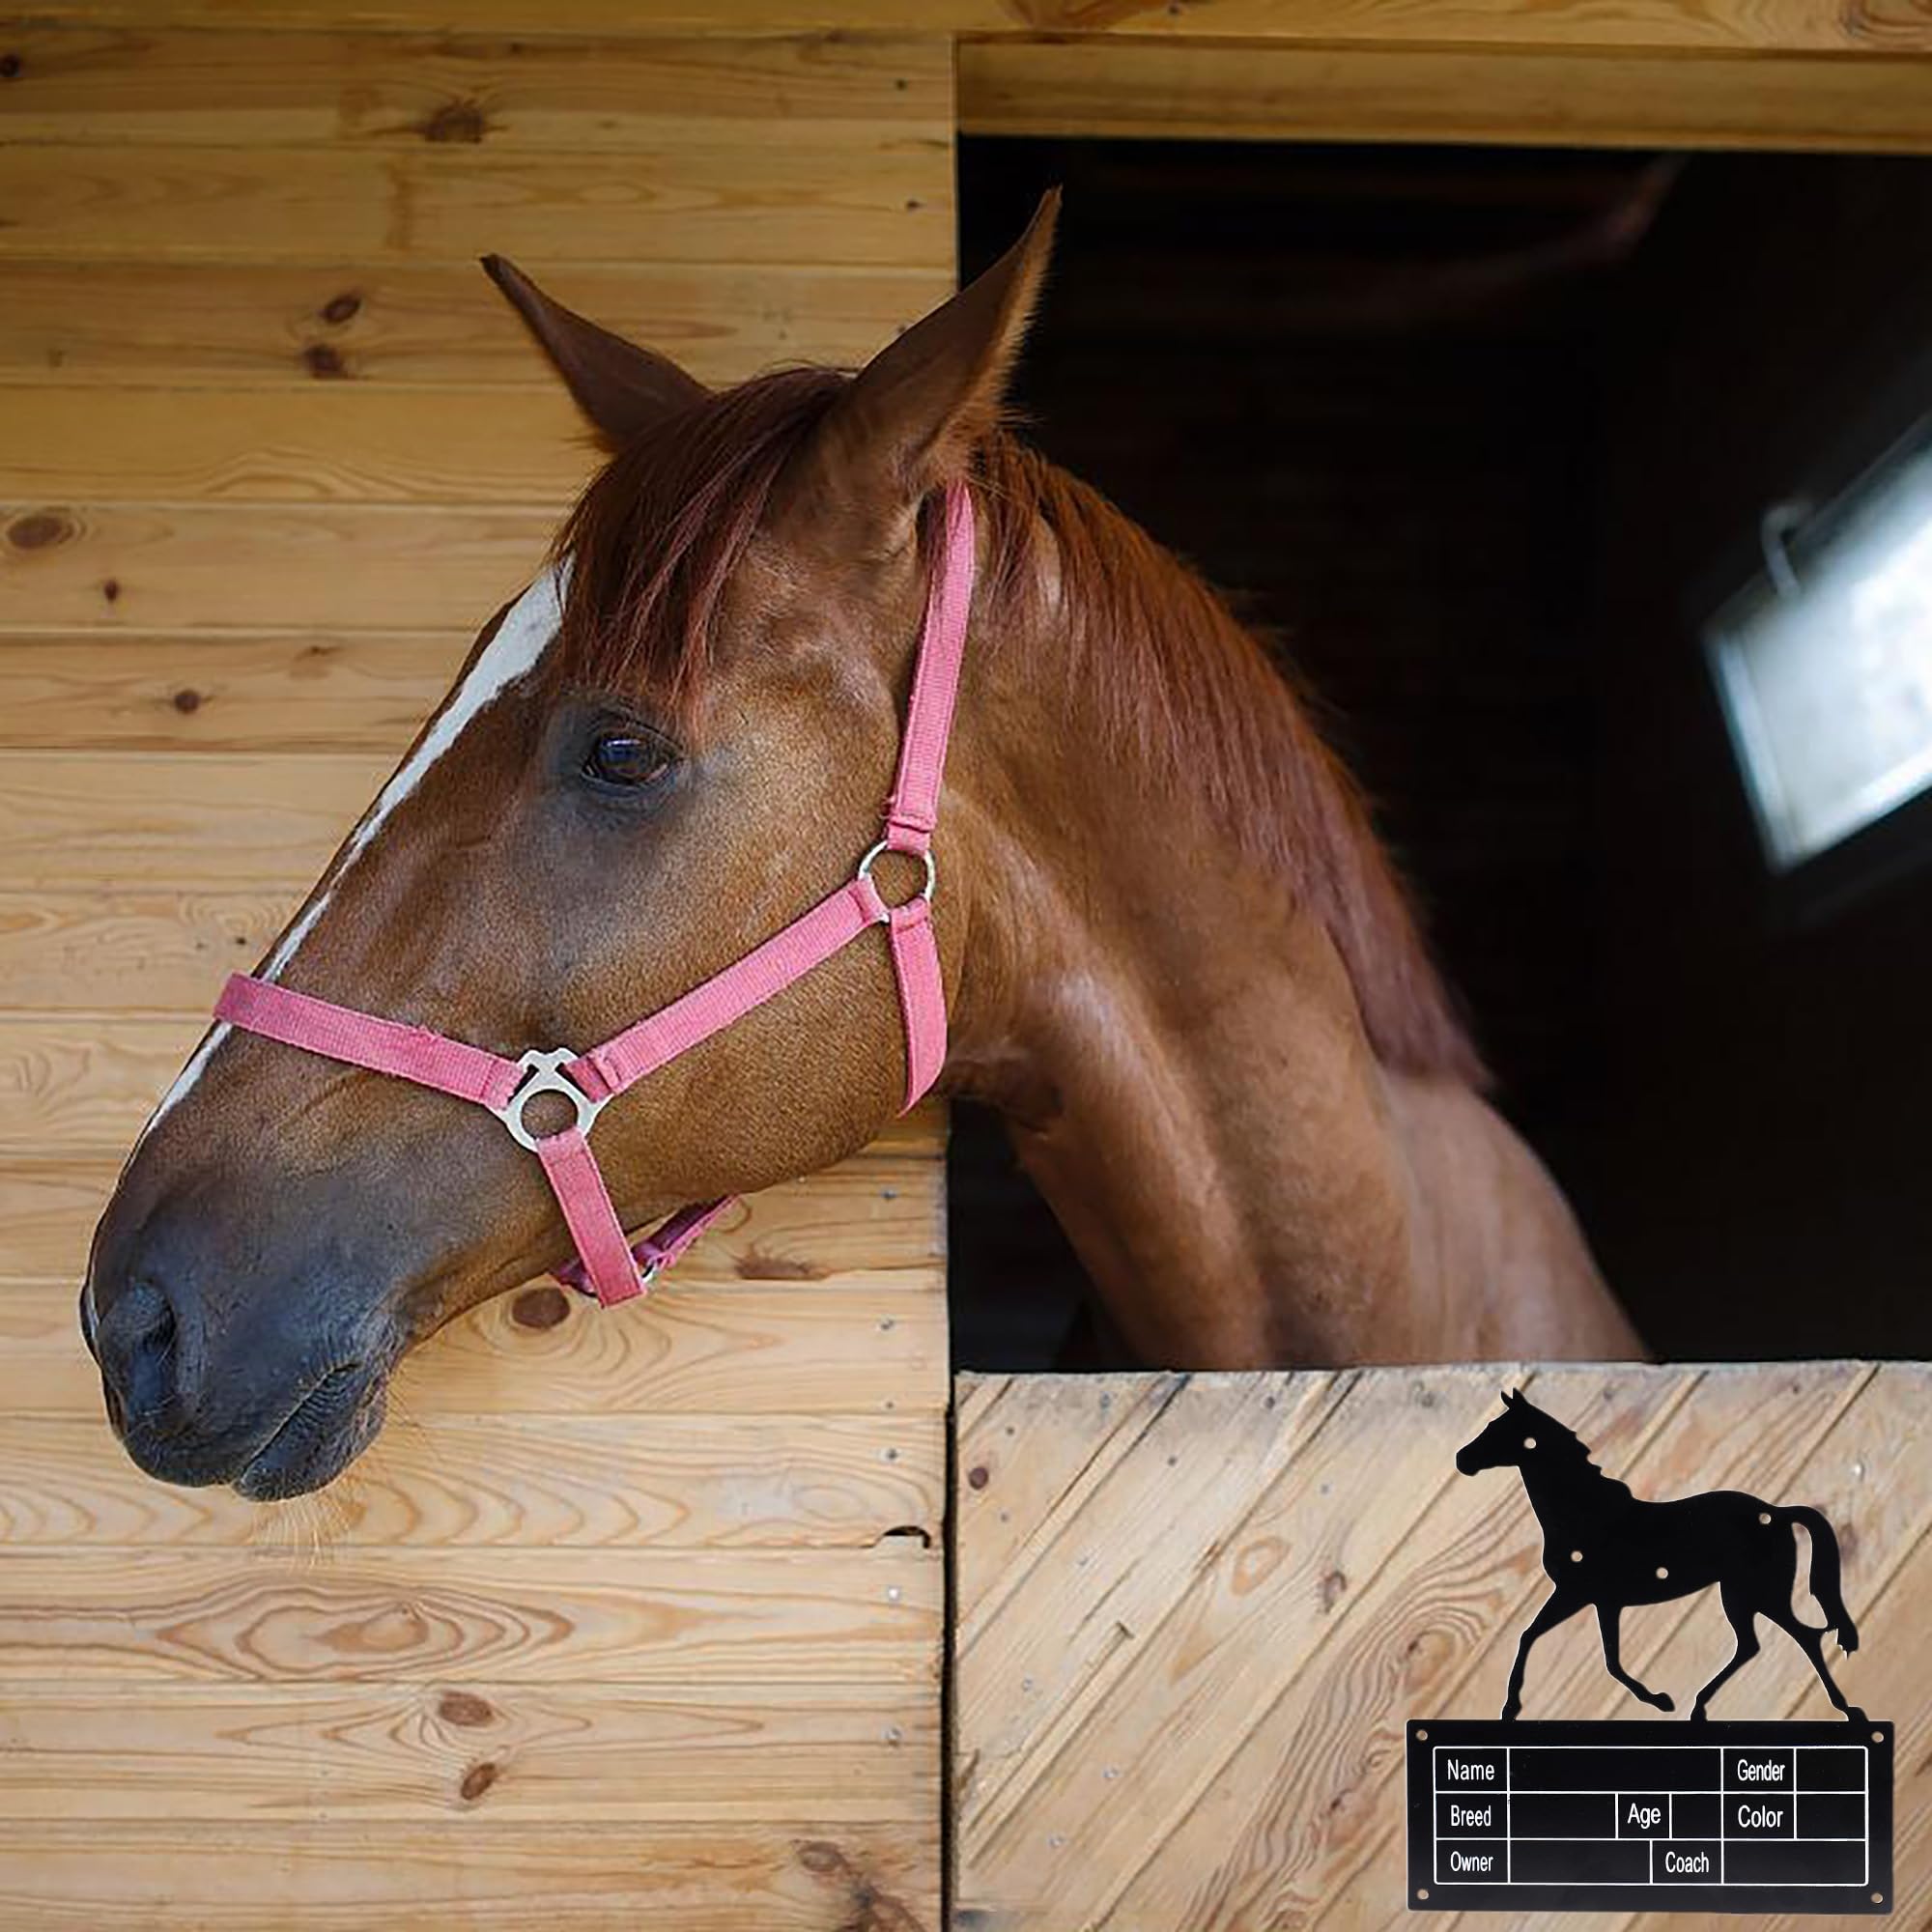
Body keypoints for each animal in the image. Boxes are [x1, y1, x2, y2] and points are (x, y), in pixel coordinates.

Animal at [1457, 1389, 1865, 1723]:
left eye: (1498, 1428)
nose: (1462, 1460)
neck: (1586, 1515)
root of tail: (1774, 1513)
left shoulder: (1578, 1594)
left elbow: (1585, 1654)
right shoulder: (1598, 1599)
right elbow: (1582, 1652)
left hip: (1756, 1594)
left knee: (1801, 1638)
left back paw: (1844, 1709)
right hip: (1744, 1595)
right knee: (1752, 1645)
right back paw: (1699, 1707)